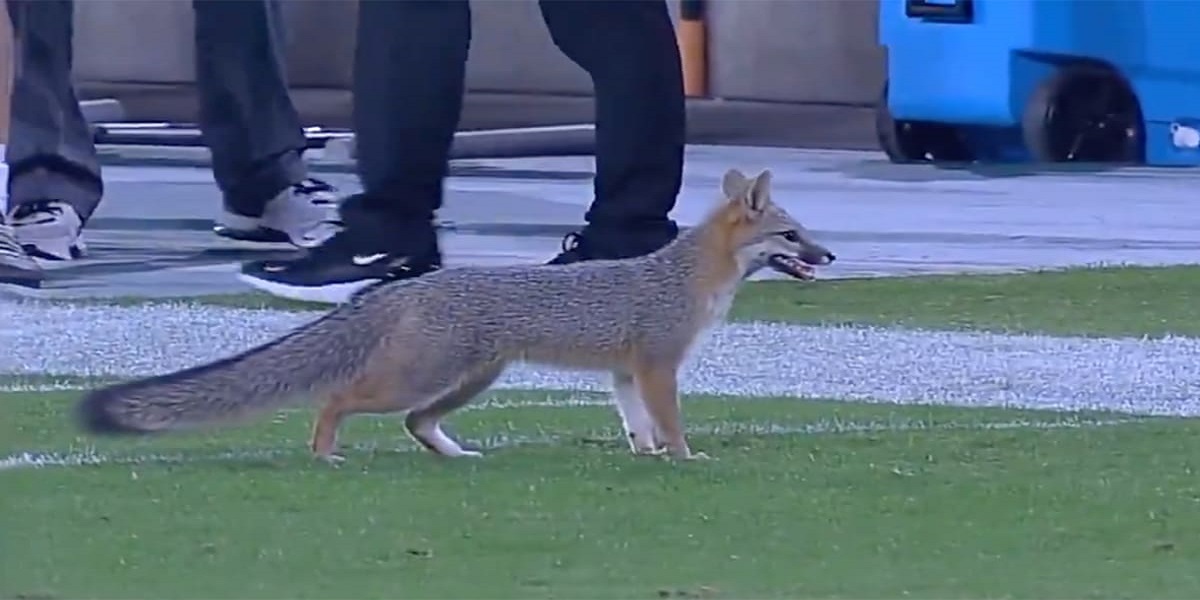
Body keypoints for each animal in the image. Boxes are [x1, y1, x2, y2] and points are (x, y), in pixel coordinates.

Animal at [77, 168, 836, 462]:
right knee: (336, 397)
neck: (687, 274)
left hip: (466, 382)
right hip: (423, 378)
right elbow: (670, 423)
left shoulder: (626, 375)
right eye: (792, 236)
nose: (828, 255)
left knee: (417, 425)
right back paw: (326, 453)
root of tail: (409, 285)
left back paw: (455, 455)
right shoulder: (656, 367)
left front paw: (649, 456)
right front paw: (682, 457)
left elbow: (637, 426)